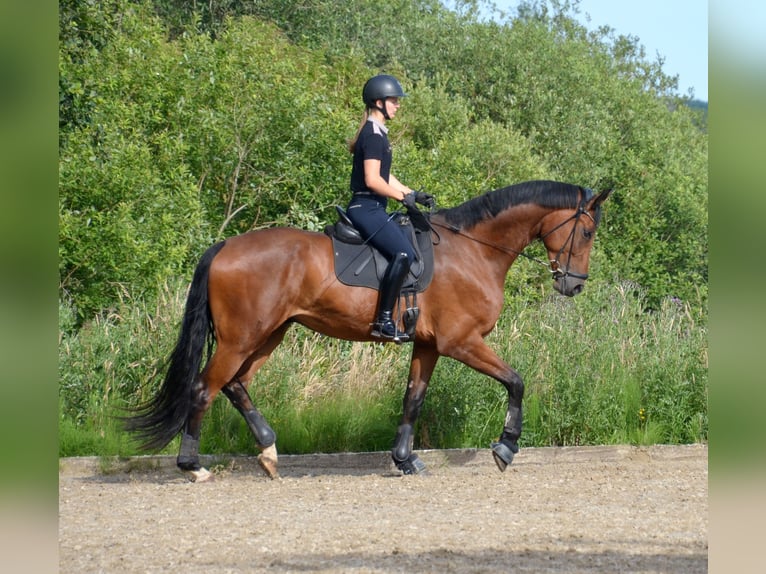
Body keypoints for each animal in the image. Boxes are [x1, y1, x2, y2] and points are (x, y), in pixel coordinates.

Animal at [126, 180, 612, 482]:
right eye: (588, 232)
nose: (574, 285)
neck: (474, 250)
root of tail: (225, 245)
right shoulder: (461, 342)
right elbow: (516, 381)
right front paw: (506, 448)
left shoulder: (429, 345)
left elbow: (413, 399)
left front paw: (405, 460)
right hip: (242, 336)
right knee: (205, 388)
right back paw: (193, 466)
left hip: (269, 334)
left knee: (236, 384)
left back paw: (267, 452)